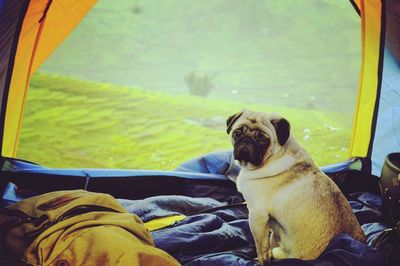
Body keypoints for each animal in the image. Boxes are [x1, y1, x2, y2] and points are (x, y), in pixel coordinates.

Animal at [225, 109, 366, 264]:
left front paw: (261, 261)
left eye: (263, 140)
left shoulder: (257, 216)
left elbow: (262, 247)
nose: (246, 141)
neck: (274, 157)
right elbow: (271, 240)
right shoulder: (271, 223)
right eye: (237, 133)